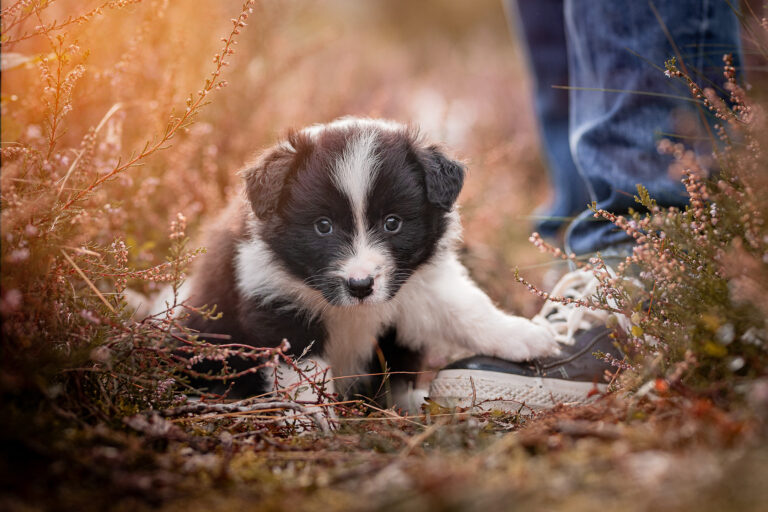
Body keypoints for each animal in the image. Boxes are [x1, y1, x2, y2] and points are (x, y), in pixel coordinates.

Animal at [186, 118, 560, 406]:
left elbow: (467, 308)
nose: (360, 285)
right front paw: (314, 423)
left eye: (392, 223)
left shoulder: (421, 285)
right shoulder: (276, 304)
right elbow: (304, 377)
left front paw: (523, 336)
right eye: (323, 226)